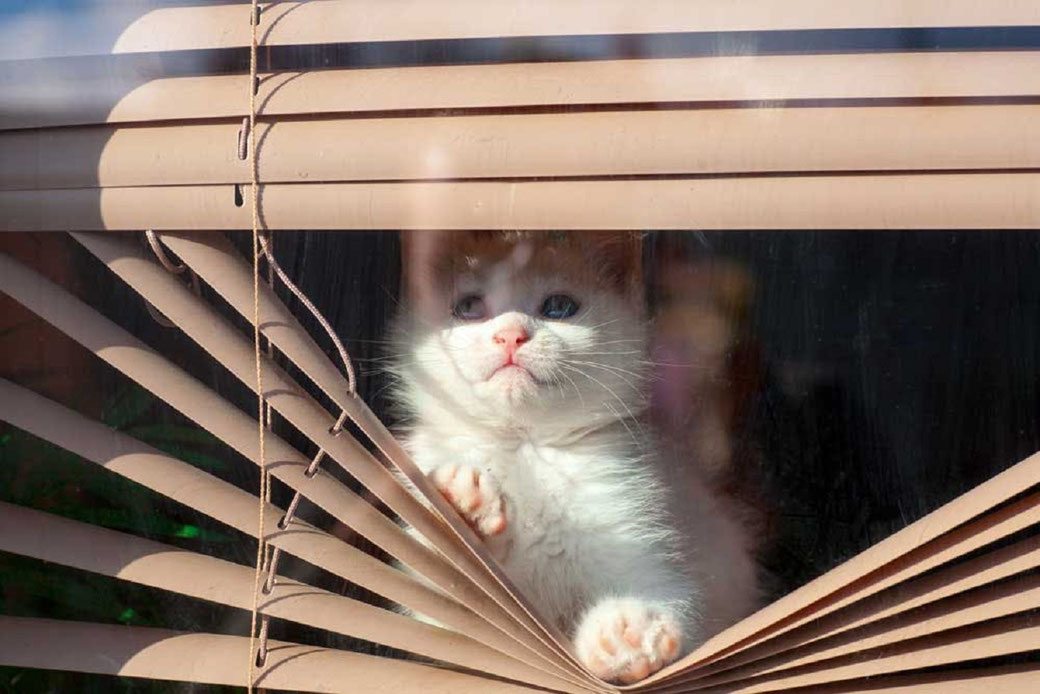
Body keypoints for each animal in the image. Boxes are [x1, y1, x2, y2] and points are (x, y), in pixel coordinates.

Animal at [386, 232, 761, 682]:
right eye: (469, 307)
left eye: (559, 306)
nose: (511, 335)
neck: (524, 449)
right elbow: (454, 617)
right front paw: (461, 503)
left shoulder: (644, 524)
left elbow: (676, 599)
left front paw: (629, 633)